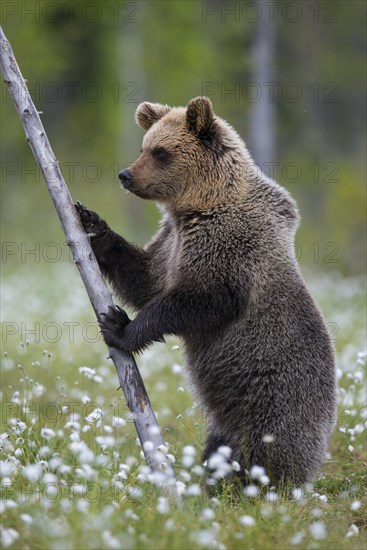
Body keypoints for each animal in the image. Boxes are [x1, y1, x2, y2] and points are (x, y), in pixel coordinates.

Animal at [76, 97, 338, 486]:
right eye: (143, 148)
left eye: (161, 152)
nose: (125, 174)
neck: (202, 204)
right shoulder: (172, 243)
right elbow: (145, 278)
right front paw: (92, 224)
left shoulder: (228, 248)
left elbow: (201, 301)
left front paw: (120, 326)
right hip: (228, 420)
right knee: (220, 448)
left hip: (272, 398)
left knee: (265, 450)